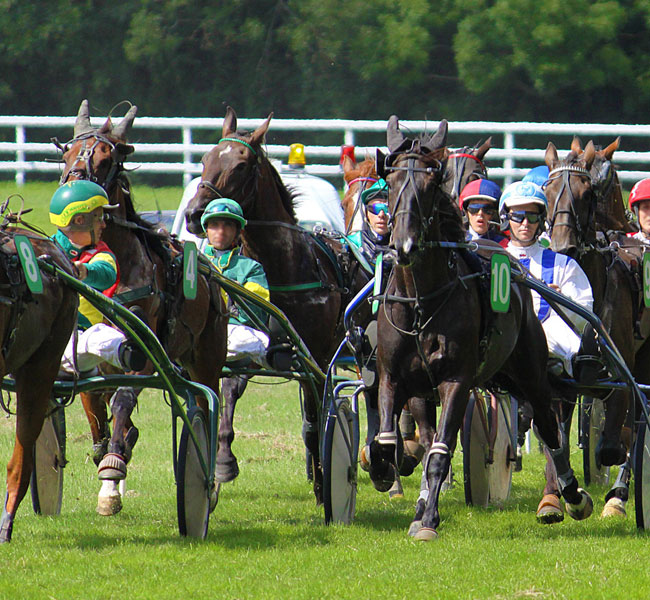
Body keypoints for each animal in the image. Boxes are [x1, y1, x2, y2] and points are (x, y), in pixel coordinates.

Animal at [56, 101, 228, 512]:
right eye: (66, 155)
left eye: (106, 159)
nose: (71, 189)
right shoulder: (88, 352)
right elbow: (94, 409)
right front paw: (108, 459)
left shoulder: (143, 349)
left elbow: (122, 400)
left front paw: (112, 472)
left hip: (207, 354)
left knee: (208, 402)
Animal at [182, 105, 370, 500]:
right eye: (205, 159)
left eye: (241, 165)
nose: (193, 214)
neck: (285, 266)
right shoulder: (250, 336)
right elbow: (231, 388)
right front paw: (223, 460)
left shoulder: (318, 353)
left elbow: (316, 414)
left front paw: (325, 478)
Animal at [368, 113, 588, 540]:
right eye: (392, 182)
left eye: (429, 185)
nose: (402, 245)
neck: (421, 302)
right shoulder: (392, 375)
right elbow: (388, 440)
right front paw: (386, 472)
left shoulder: (457, 379)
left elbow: (440, 453)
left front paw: (429, 521)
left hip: (530, 369)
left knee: (548, 424)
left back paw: (570, 495)